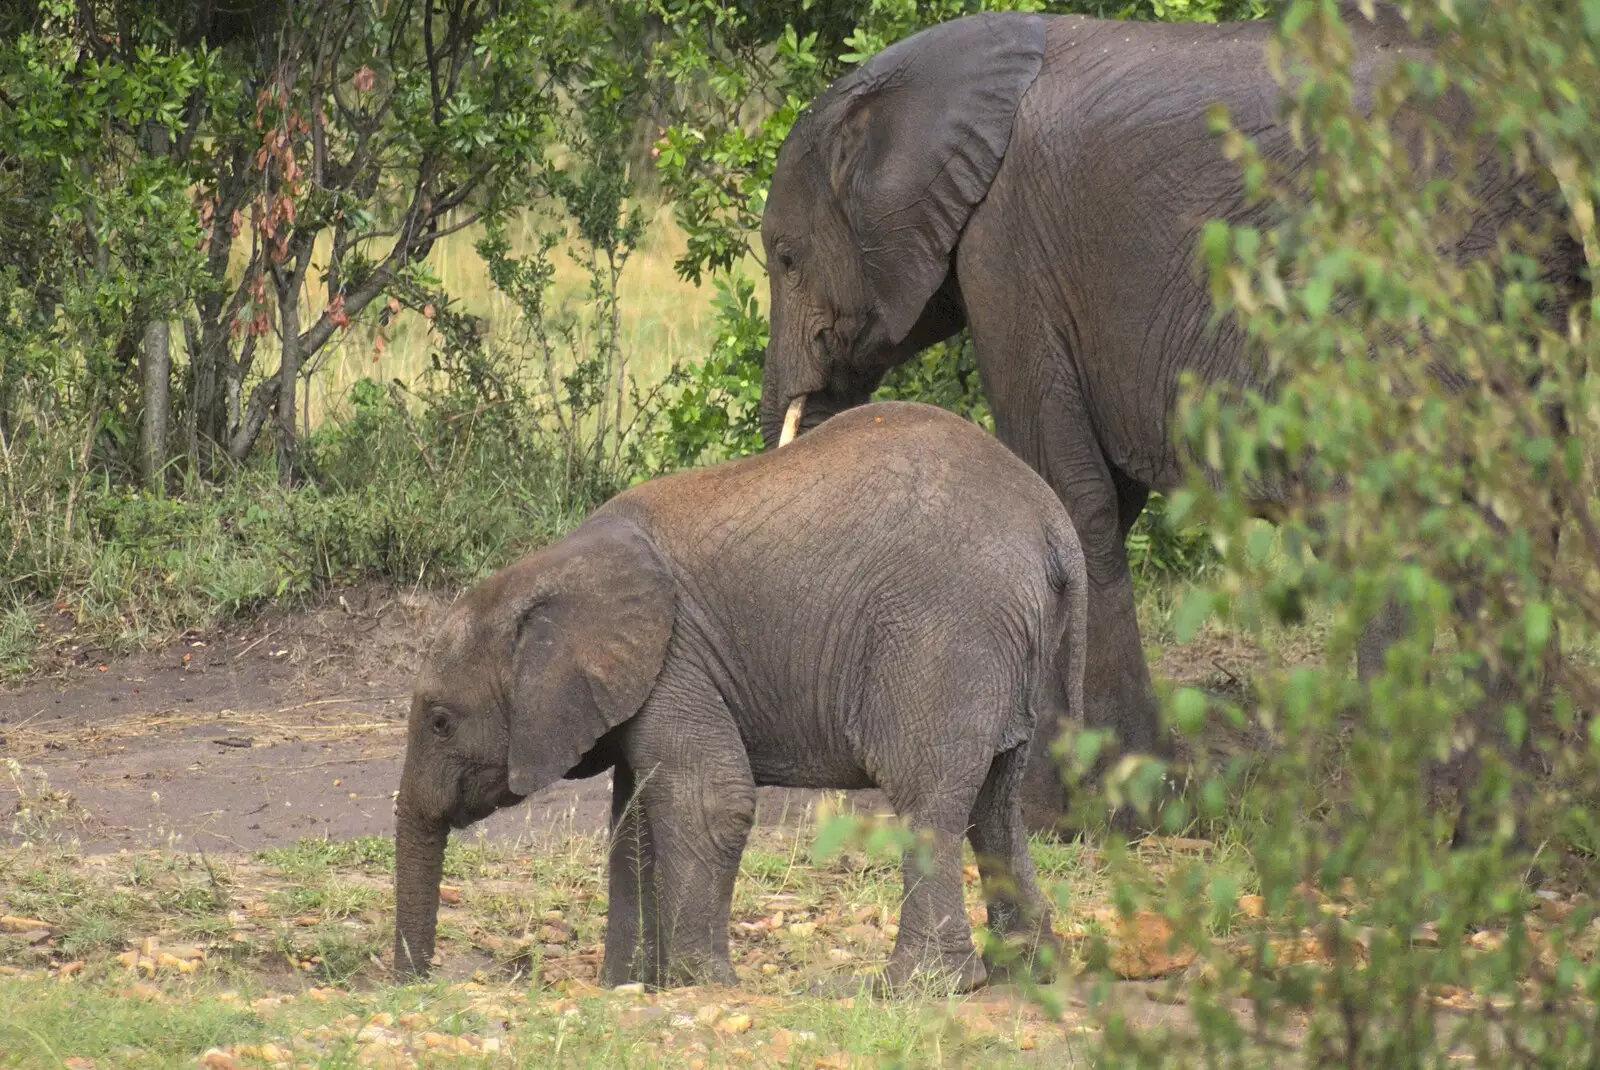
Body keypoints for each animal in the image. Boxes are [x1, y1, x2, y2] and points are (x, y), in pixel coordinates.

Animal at [393, 403, 1088, 991]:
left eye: (441, 722)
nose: (418, 984)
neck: (549, 569)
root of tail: (1053, 525)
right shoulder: (649, 682)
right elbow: (634, 823)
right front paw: (629, 987)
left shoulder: (677, 659)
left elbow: (708, 800)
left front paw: (700, 985)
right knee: (995, 799)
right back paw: (1026, 970)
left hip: (945, 634)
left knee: (929, 797)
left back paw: (913, 988)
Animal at [755, 2, 1580, 825]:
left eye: (787, 259)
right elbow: (1101, 505)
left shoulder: (1005, 250)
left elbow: (1066, 487)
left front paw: (1077, 812)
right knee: (1516, 522)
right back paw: (1490, 811)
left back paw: (1390, 815)